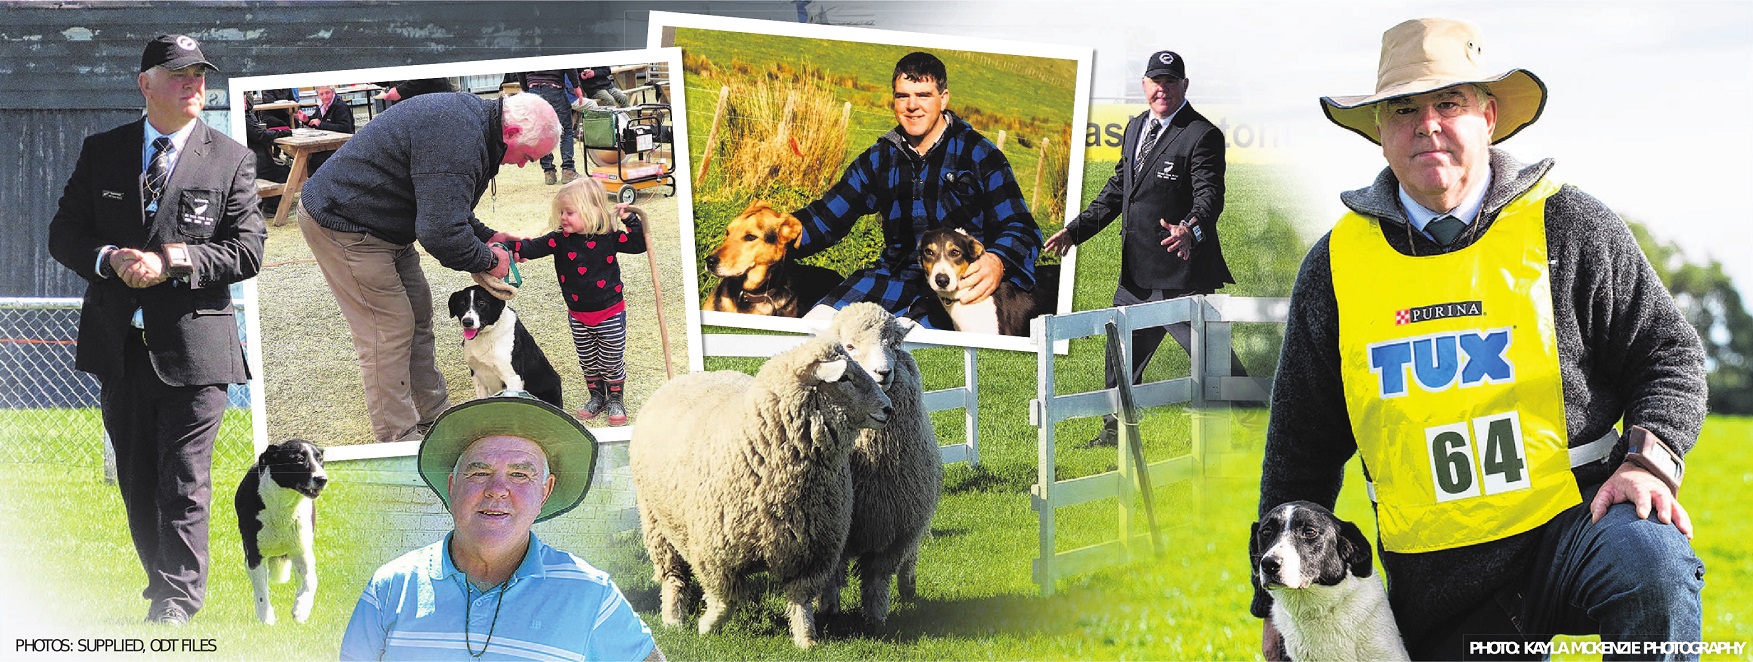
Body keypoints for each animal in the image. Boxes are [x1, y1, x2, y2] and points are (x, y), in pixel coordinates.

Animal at [233, 439, 329, 626]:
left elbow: (310, 581)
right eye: (299, 459)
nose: (322, 479)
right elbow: (261, 590)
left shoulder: (302, 551)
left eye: (320, 459)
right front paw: (266, 618)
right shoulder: (255, 555)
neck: (283, 504)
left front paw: (301, 609)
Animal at [631, 336, 897, 647]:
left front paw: (806, 640)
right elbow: (726, 600)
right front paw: (707, 626)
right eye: (844, 378)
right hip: (655, 522)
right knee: (673, 576)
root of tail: (683, 378)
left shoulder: (810, 553)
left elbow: (800, 601)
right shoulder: (715, 555)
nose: (888, 409)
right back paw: (673, 618)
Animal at [820, 302, 946, 623]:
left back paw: (908, 586)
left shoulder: (895, 529)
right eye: (849, 346)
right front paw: (829, 611)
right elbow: (832, 576)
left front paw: (876, 619)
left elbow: (877, 577)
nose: (883, 373)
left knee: (910, 558)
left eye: (894, 344)